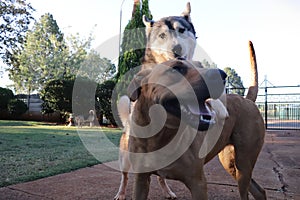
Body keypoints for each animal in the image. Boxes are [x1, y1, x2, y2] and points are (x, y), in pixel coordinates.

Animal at [126, 41, 264, 199]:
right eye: (176, 68)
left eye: (200, 65)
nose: (222, 75)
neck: (161, 137)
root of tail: (247, 100)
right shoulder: (141, 179)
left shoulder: (198, 183)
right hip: (231, 164)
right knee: (259, 190)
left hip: (243, 163)